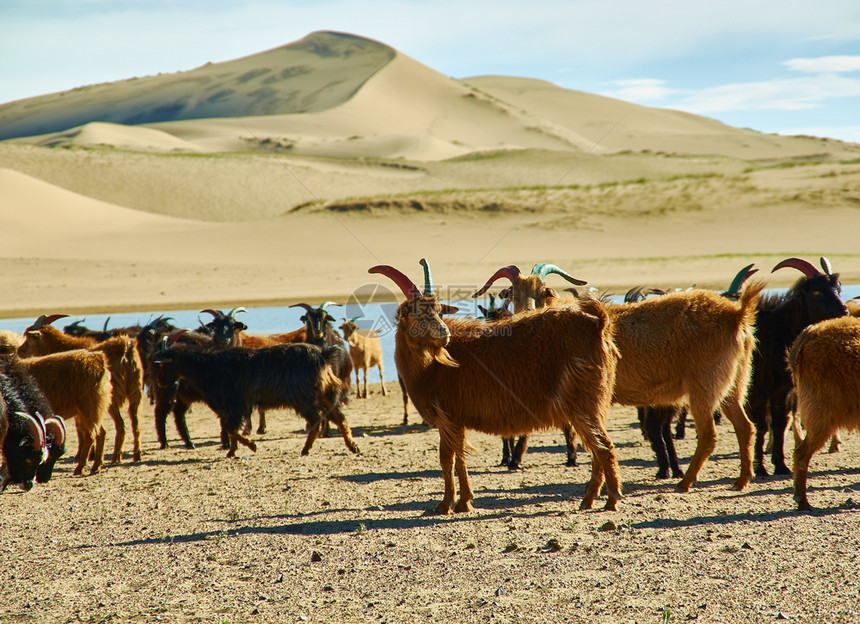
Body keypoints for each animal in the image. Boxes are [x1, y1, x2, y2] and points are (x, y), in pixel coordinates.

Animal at [18, 314, 145, 460]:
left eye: (29, 338)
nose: (19, 351)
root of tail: (125, 348)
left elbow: (81, 428)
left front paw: (83, 454)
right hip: (136, 389)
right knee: (136, 423)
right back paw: (136, 455)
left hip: (111, 397)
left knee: (121, 425)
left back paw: (116, 456)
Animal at [151, 336, 360, 458]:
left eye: (163, 364)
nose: (159, 381)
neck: (209, 367)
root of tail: (324, 355)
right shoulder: (230, 408)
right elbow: (231, 430)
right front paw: (232, 451)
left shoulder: (234, 405)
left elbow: (232, 429)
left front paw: (251, 446)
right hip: (325, 395)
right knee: (340, 418)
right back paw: (352, 446)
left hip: (305, 399)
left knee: (318, 419)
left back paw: (306, 449)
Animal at [368, 260, 620, 516]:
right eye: (414, 313)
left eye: (439, 311)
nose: (443, 333)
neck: (433, 366)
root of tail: (598, 324)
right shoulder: (456, 420)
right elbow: (459, 457)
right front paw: (464, 501)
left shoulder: (448, 417)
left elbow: (447, 458)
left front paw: (445, 504)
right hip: (595, 405)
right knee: (597, 447)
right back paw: (589, 499)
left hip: (582, 404)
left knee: (604, 447)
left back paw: (610, 500)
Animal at [744, 256, 848, 476]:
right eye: (817, 291)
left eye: (838, 288)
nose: (843, 310)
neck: (777, 329)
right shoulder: (756, 391)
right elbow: (760, 426)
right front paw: (759, 468)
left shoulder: (780, 391)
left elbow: (779, 425)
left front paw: (780, 466)